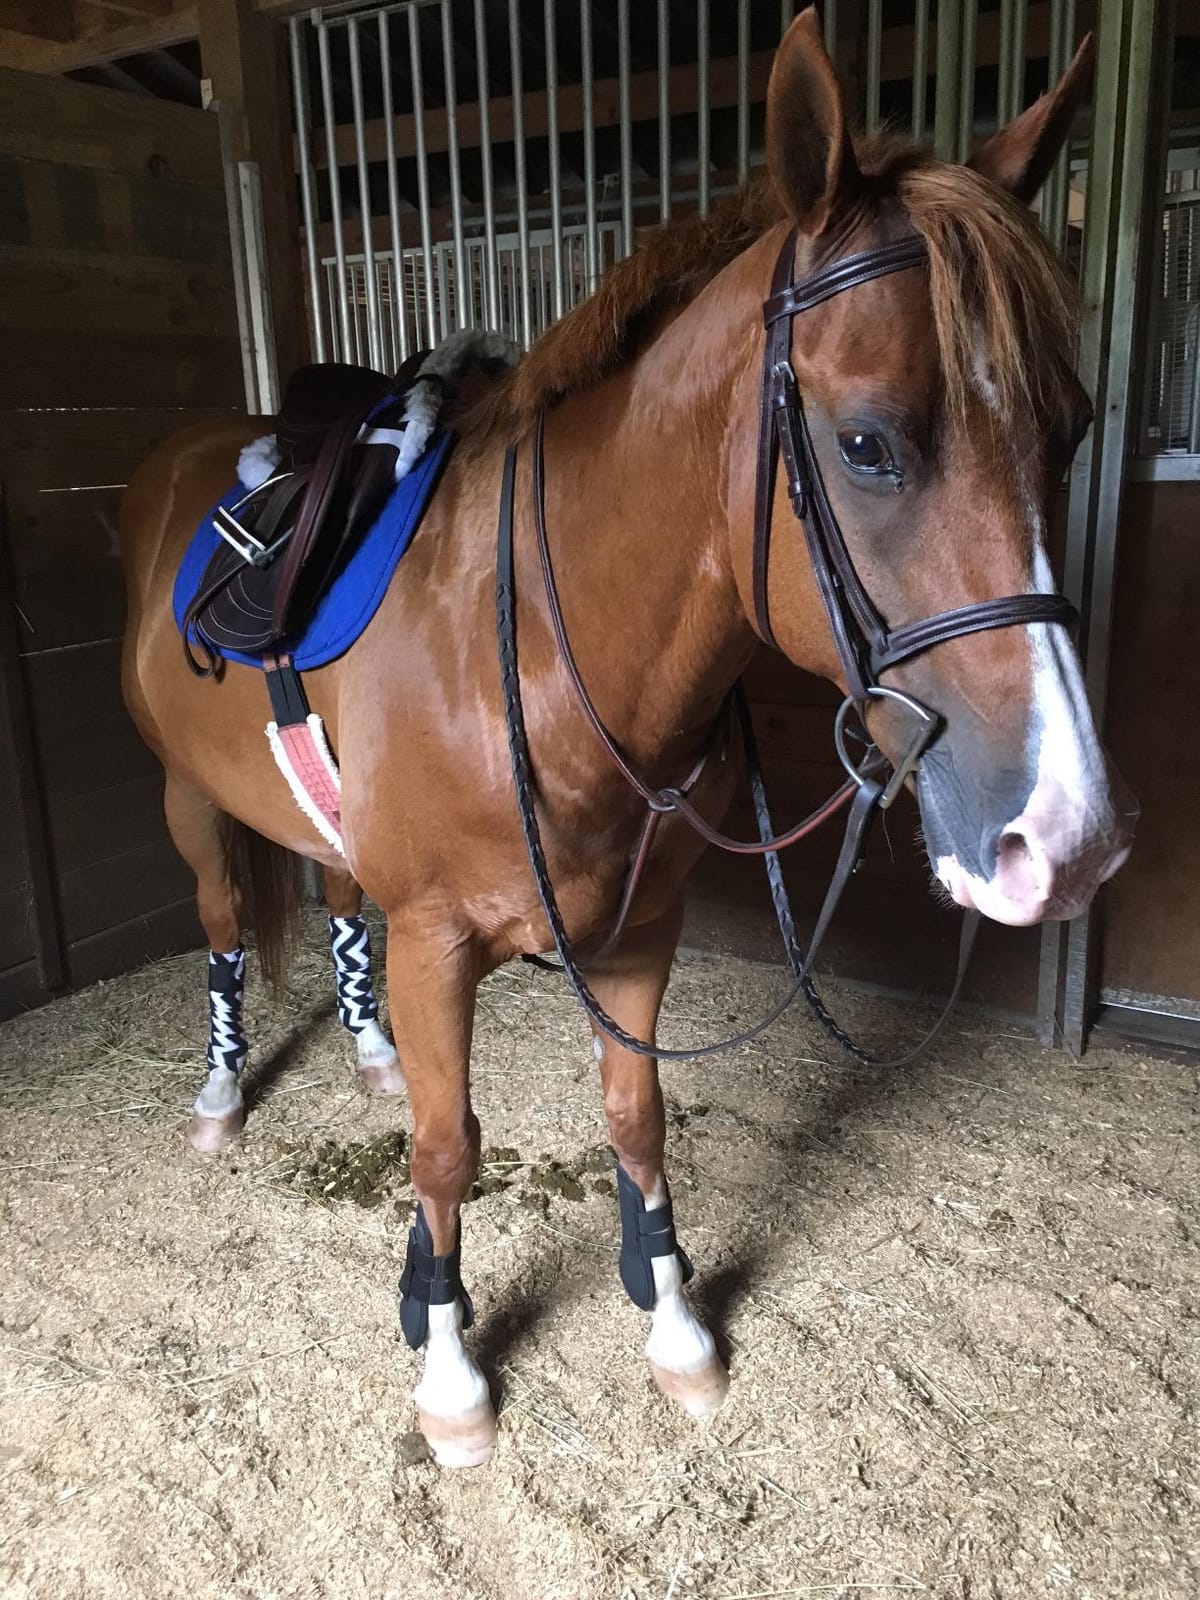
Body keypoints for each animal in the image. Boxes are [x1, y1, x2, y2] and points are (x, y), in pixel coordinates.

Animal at [119, 10, 1132, 1468]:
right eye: (867, 444)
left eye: (1071, 429)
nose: (1067, 836)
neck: (545, 646)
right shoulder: (440, 943)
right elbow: (446, 1149)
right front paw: (449, 1367)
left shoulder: (643, 928)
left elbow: (635, 1116)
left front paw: (674, 1323)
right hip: (185, 799)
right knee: (219, 926)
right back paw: (216, 1101)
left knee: (338, 900)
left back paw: (366, 1055)